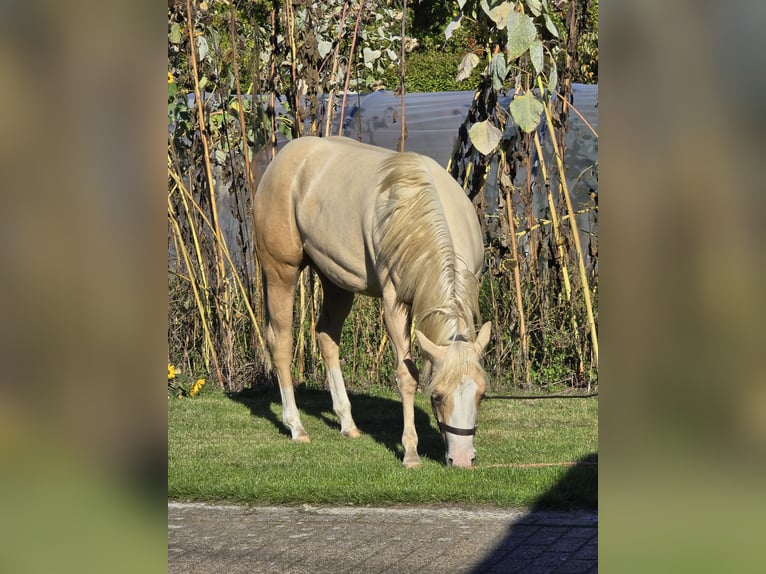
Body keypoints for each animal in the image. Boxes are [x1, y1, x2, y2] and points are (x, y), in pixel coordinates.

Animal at [253, 136, 491, 468]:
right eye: (437, 396)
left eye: (481, 394)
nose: (462, 460)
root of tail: (283, 158)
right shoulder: (394, 304)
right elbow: (406, 376)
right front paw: (411, 453)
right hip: (281, 273)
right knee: (281, 344)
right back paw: (296, 426)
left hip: (336, 280)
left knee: (326, 336)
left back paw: (347, 423)